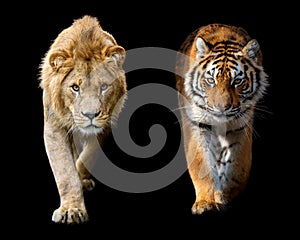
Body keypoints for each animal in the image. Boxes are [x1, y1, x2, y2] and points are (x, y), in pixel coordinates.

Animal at [38, 15, 126, 224]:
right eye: (75, 88)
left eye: (104, 87)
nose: (90, 115)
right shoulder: (54, 126)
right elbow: (65, 171)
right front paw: (72, 209)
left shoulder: (107, 123)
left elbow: (89, 156)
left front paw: (80, 178)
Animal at [175, 23, 268, 214]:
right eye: (211, 80)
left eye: (237, 81)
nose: (222, 108)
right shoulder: (197, 124)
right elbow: (202, 164)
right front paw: (207, 202)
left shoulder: (241, 126)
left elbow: (238, 167)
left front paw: (225, 197)